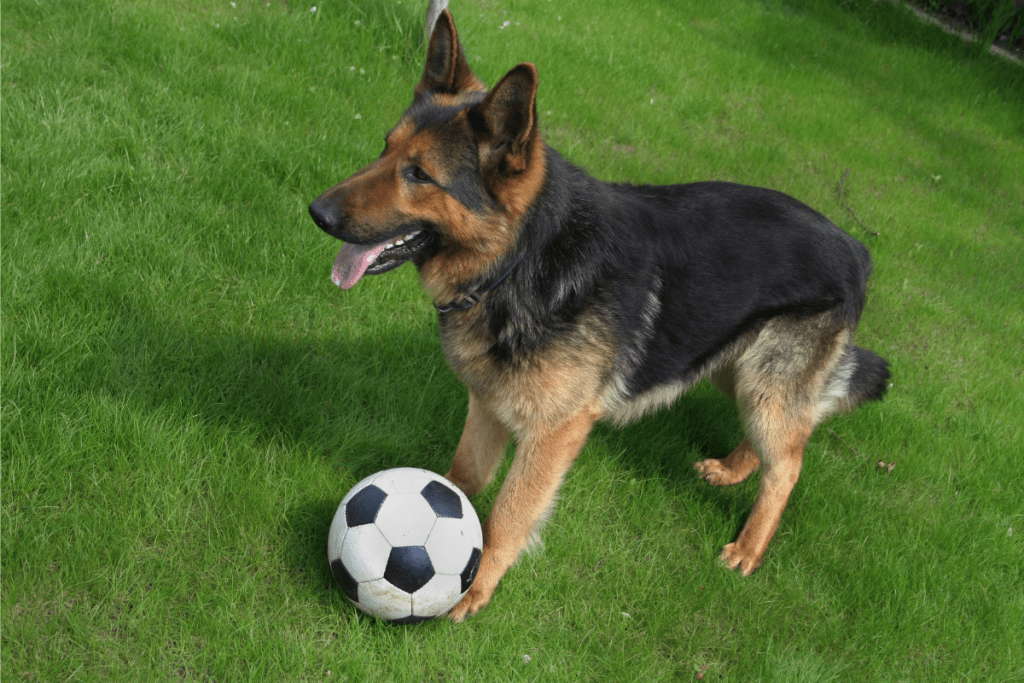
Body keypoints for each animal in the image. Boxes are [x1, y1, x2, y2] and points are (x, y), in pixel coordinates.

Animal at [309, 10, 888, 622]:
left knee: (790, 464)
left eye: (419, 174)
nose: (316, 212)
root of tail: (857, 249)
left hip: (763, 385)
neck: (524, 258)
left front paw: (477, 587)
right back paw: (734, 469)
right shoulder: (488, 404)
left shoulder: (553, 434)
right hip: (731, 367)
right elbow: (460, 479)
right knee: (790, 437)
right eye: (385, 149)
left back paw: (750, 548)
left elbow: (510, 511)